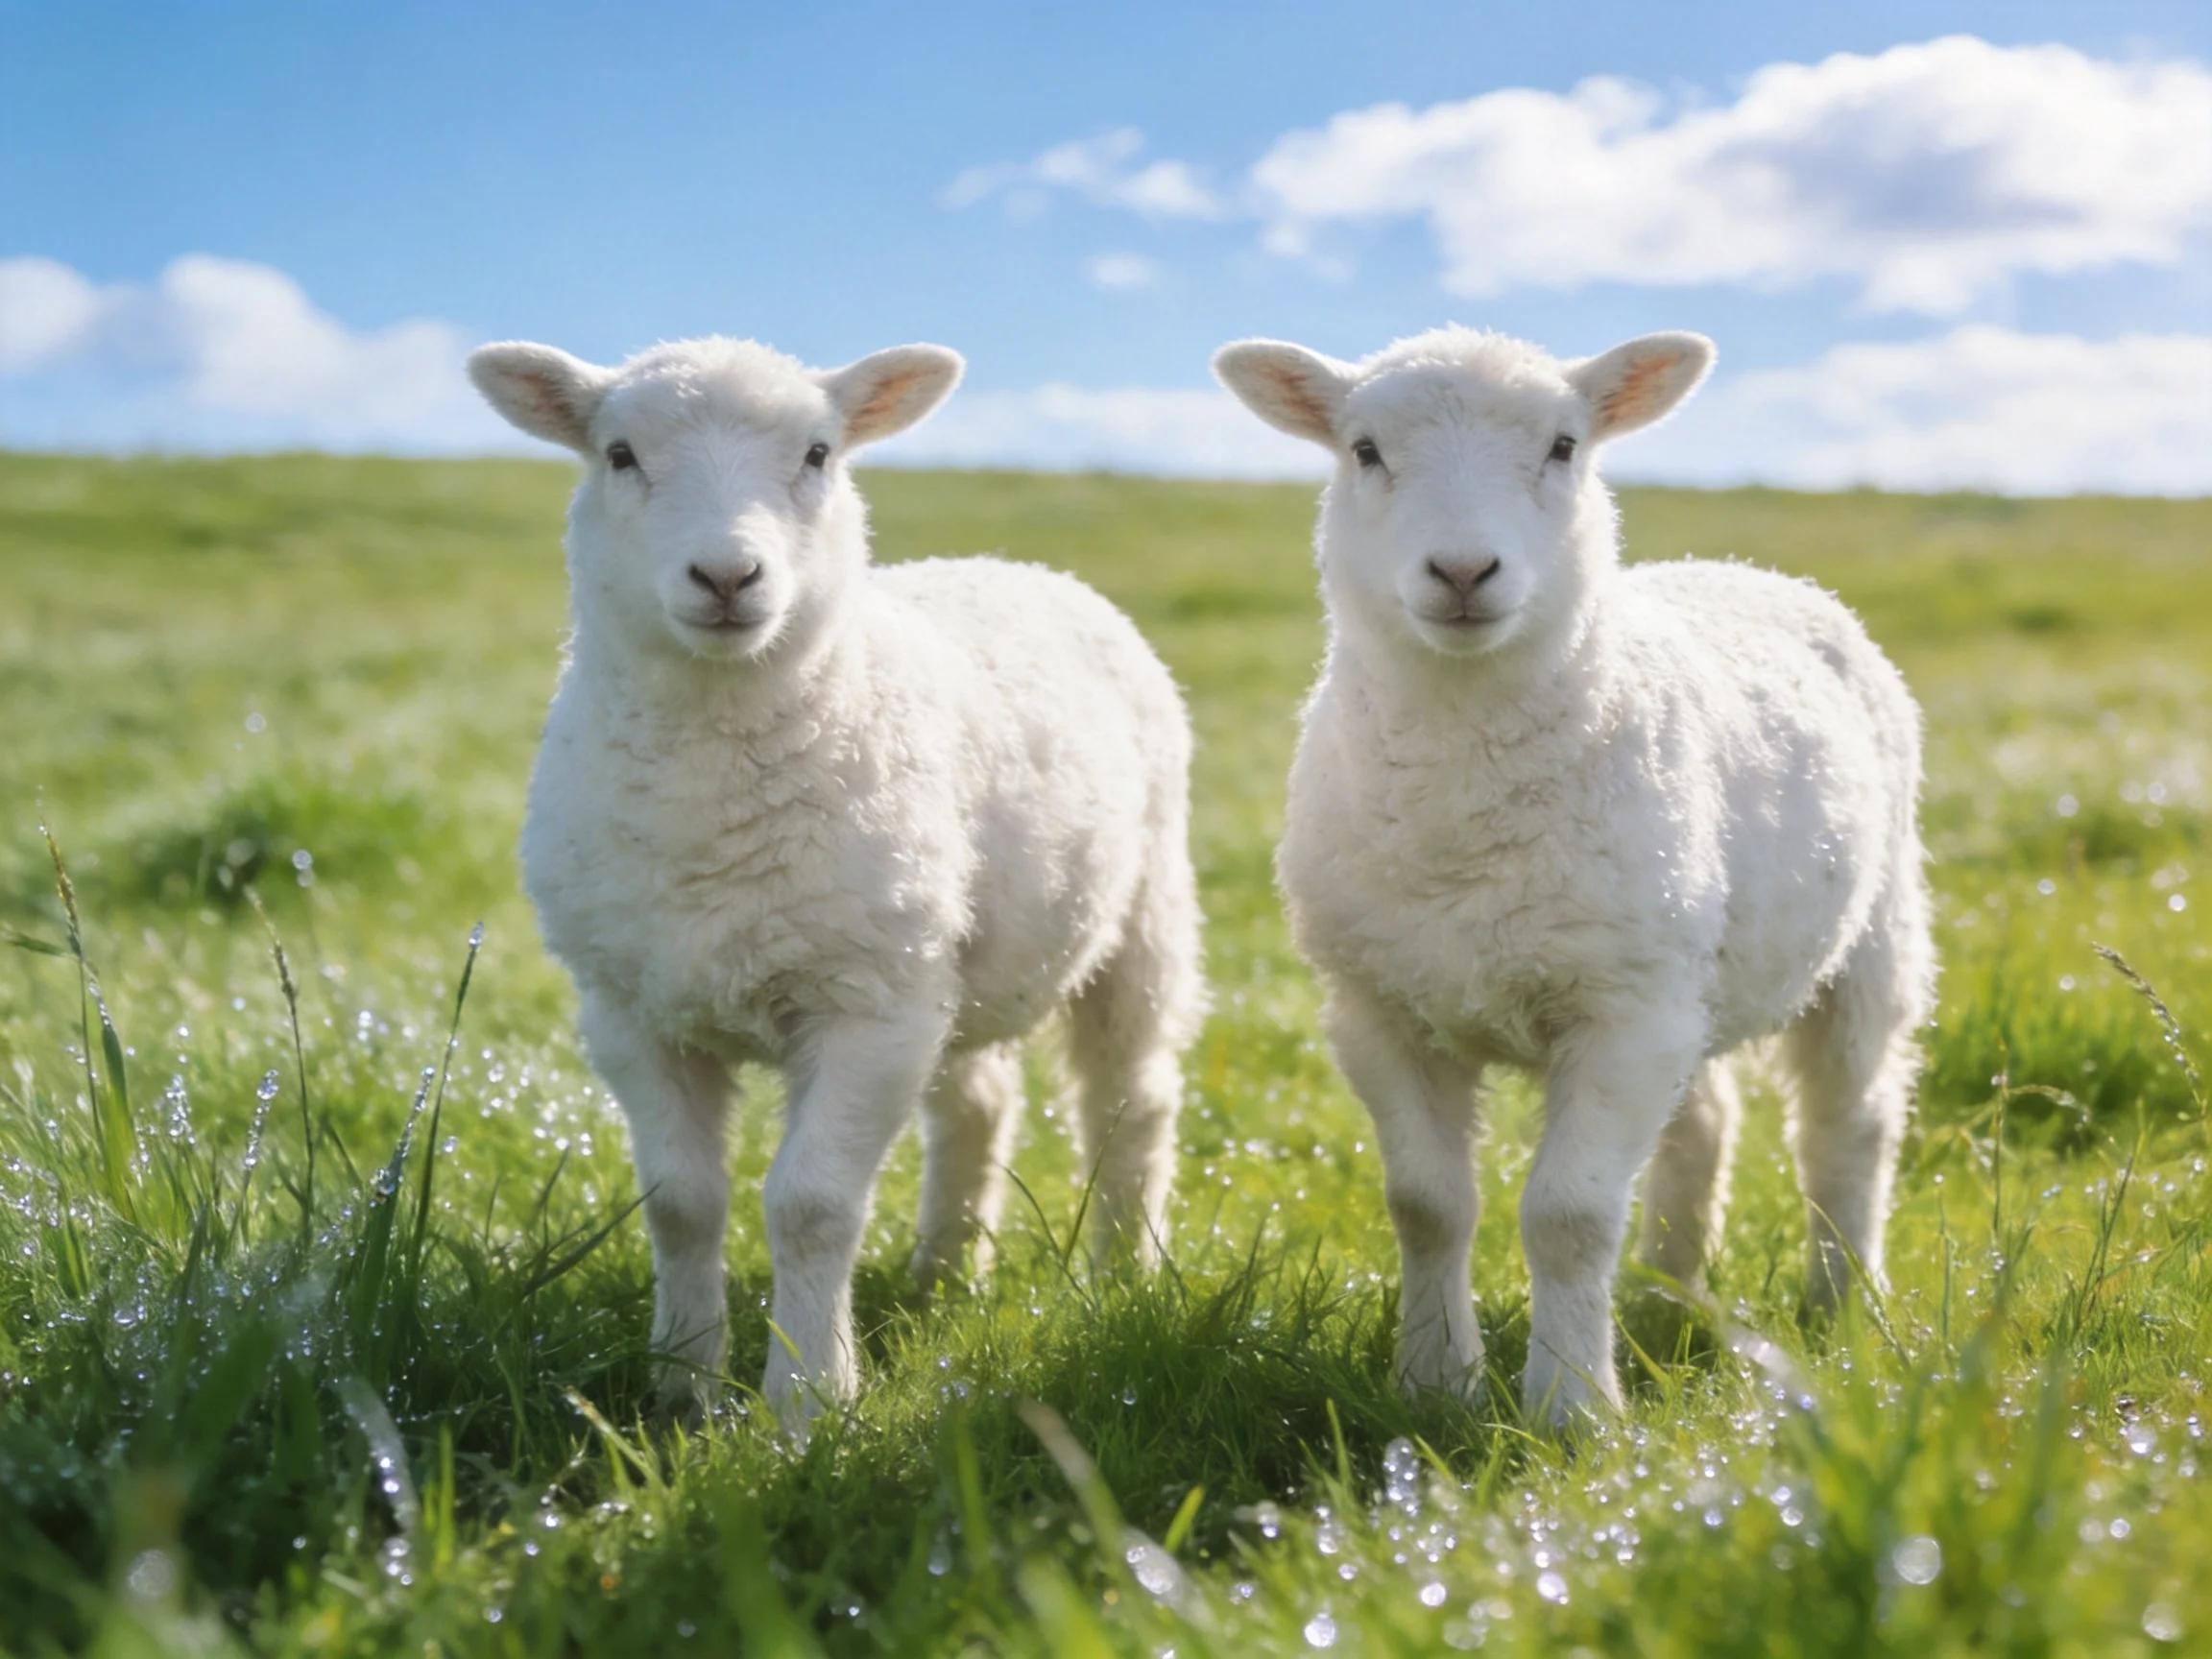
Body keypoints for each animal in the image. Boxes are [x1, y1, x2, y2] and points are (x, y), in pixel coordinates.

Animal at [467, 335, 1204, 1430]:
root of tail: (1012, 563)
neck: (713, 806)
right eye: (619, 454)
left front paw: (808, 1405)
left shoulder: (868, 1005)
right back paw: (943, 1275)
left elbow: (810, 1206)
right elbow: (681, 1204)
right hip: (947, 952)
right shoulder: (631, 1009)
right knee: (980, 1100)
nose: (728, 573)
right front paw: (682, 1388)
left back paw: (1124, 1278)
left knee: (1131, 1099)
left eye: (818, 453)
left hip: (1137, 910)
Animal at [1214, 326, 1934, 1428]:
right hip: (1683, 965)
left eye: (1564, 445)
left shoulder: (1620, 1011)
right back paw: (1664, 1295)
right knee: (1702, 1128)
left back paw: (1843, 1304)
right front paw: (1435, 1386)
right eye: (1364, 450)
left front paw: (1572, 1409)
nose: (1463, 568)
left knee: (1847, 1127)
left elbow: (1570, 1216)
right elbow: (1425, 1207)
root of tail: (1741, 568)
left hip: (1866, 938)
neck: (1465, 819)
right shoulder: (1379, 1008)